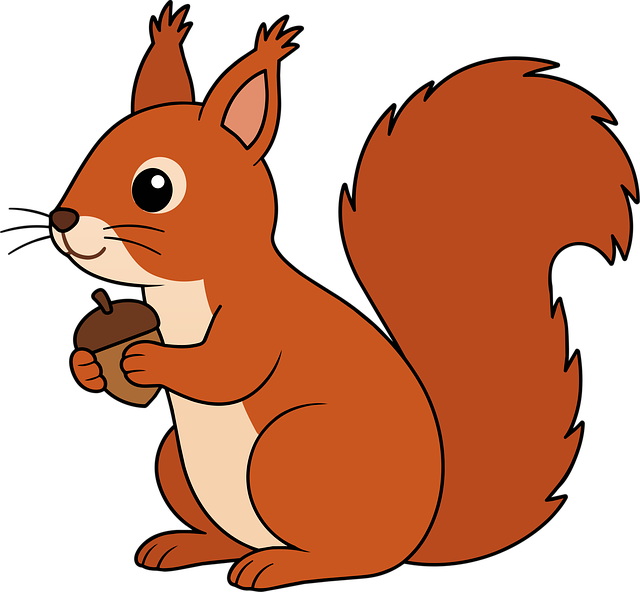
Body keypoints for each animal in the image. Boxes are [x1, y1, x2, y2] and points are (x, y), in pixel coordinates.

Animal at [51, 7, 635, 588]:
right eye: (95, 150)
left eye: (155, 187)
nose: (62, 219)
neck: (183, 291)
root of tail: (418, 536)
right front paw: (88, 367)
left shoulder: (260, 320)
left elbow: (228, 371)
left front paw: (147, 360)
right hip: (177, 460)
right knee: (235, 535)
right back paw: (192, 546)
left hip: (291, 452)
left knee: (354, 558)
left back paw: (279, 565)